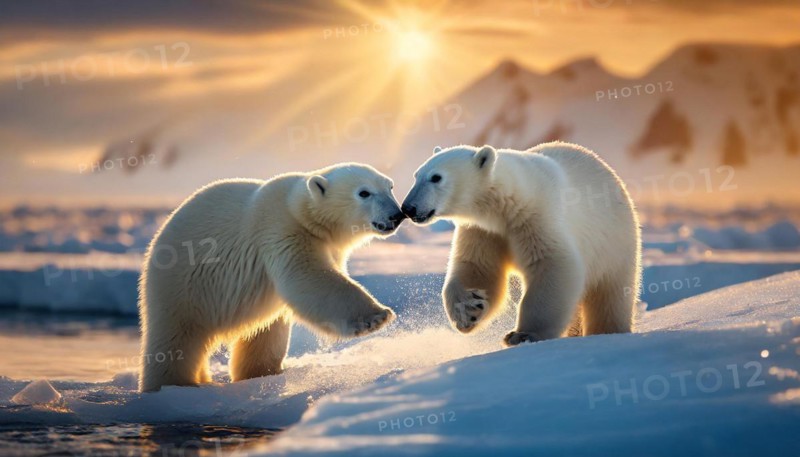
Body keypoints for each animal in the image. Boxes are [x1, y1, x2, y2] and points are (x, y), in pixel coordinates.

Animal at [138, 163, 405, 392]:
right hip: (182, 285)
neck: (300, 209)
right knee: (176, 339)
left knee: (265, 332)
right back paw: (172, 384)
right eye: (364, 193)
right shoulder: (282, 230)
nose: (397, 214)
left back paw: (261, 373)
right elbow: (311, 278)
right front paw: (378, 316)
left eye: (390, 186)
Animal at [401, 142, 641, 346]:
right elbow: (478, 266)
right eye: (416, 175)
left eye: (436, 177)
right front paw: (469, 309)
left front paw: (522, 334)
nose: (408, 208)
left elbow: (553, 265)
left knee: (611, 294)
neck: (507, 201)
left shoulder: (536, 217)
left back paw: (607, 331)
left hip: (615, 242)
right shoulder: (484, 230)